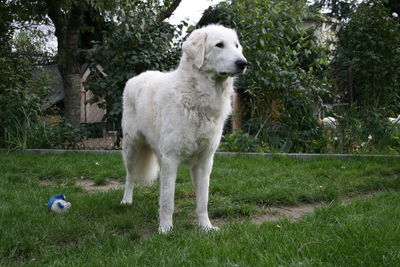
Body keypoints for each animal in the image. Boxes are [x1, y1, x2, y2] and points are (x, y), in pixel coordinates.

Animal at [121, 25, 247, 234]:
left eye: (236, 46)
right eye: (219, 45)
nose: (243, 63)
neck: (199, 96)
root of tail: (137, 76)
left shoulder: (204, 163)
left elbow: (202, 201)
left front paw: (206, 227)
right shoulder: (171, 159)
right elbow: (168, 201)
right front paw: (165, 229)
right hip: (131, 148)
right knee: (130, 176)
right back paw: (126, 201)